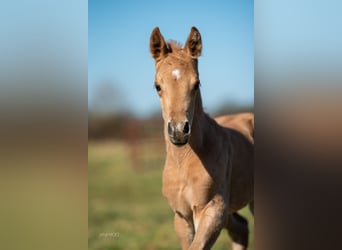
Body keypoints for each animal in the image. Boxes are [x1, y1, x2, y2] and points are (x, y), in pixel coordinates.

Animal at [150, 26, 254, 249]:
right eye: (157, 86)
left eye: (197, 84)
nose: (179, 131)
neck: (184, 162)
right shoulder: (182, 216)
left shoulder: (212, 209)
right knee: (241, 229)